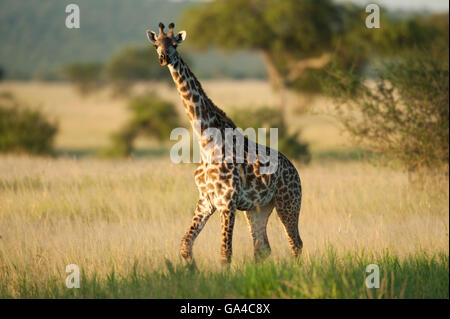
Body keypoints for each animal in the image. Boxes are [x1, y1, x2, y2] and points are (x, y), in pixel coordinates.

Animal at [148, 21, 302, 264]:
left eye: (174, 44)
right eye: (156, 44)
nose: (164, 58)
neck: (206, 144)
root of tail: (296, 172)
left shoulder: (227, 202)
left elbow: (225, 253)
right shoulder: (205, 201)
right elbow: (185, 245)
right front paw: (192, 270)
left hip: (288, 203)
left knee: (295, 243)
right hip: (258, 209)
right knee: (262, 248)